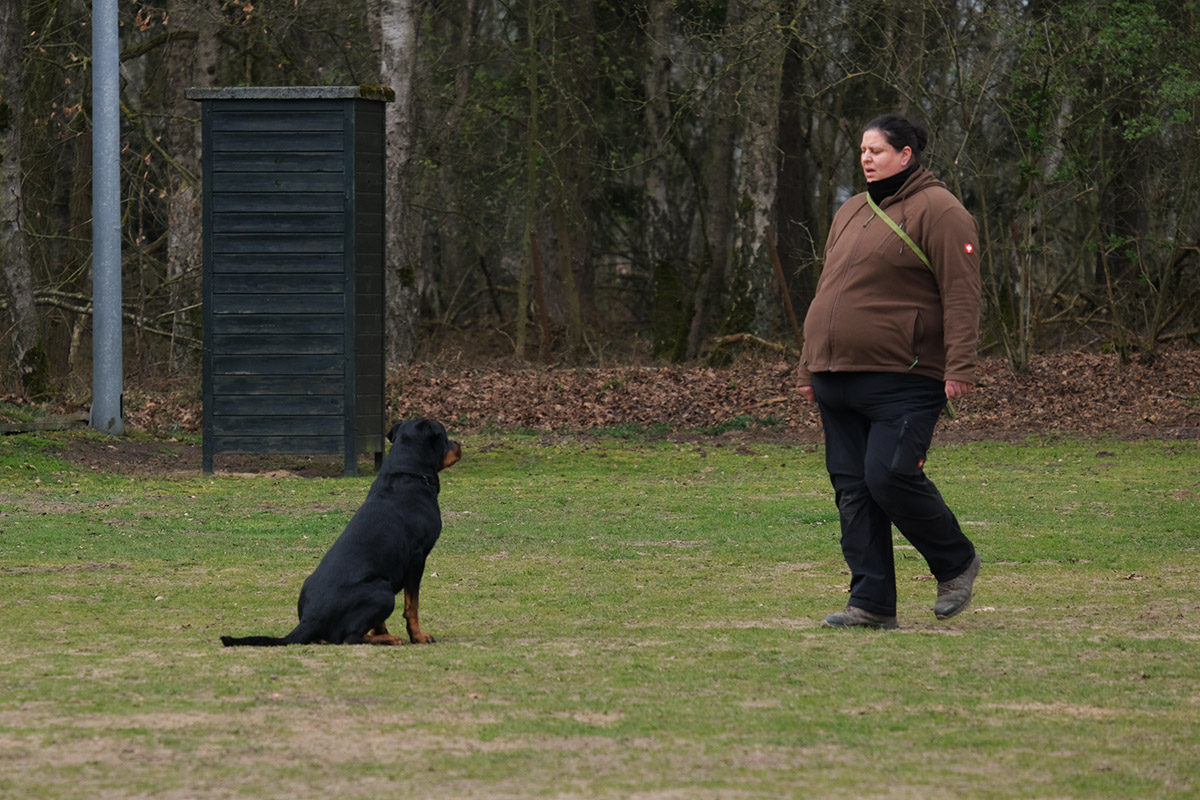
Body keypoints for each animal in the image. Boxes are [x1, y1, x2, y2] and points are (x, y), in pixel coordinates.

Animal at [218, 417, 460, 647]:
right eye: (444, 436)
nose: (459, 443)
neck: (408, 474)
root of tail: (310, 619)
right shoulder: (418, 557)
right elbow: (412, 605)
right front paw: (418, 636)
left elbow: (381, 621)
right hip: (382, 590)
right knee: (349, 638)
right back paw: (388, 640)